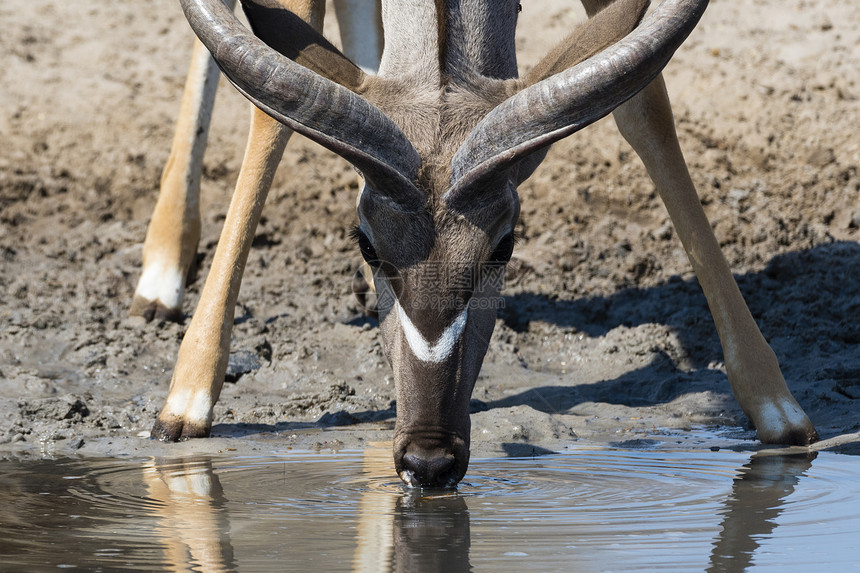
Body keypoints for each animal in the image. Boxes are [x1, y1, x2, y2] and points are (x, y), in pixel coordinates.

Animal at [146, 0, 820, 484]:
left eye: (504, 245)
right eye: (367, 246)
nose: (429, 461)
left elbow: (645, 104)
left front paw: (779, 410)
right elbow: (269, 118)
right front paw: (185, 404)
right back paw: (160, 276)